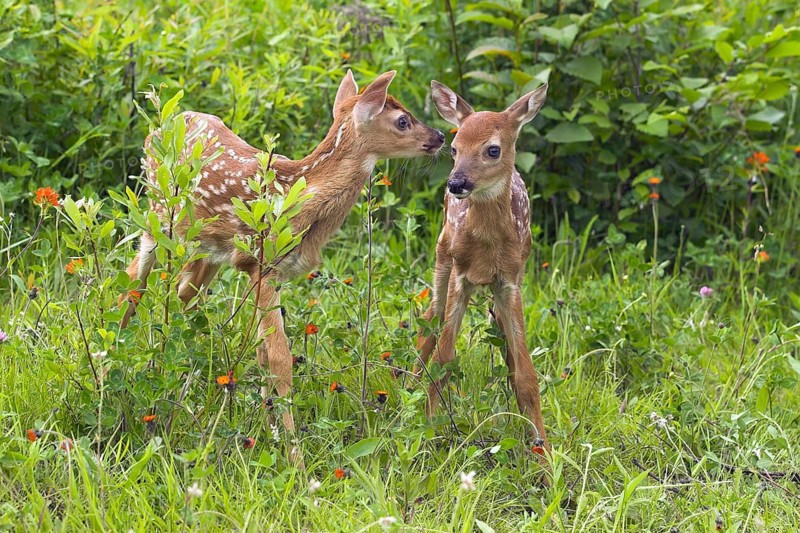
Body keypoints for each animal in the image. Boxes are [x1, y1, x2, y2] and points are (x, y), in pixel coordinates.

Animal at [121, 70, 445, 458]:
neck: (300, 196)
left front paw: (269, 432)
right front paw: (294, 455)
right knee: (132, 283)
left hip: (207, 249)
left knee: (184, 294)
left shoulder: (269, 271)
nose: (440, 136)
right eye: (402, 120)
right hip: (156, 217)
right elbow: (279, 360)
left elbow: (262, 355)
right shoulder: (259, 264)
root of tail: (158, 127)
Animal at [418, 80, 550, 453]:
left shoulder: (509, 283)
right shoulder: (460, 276)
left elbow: (526, 373)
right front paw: (427, 432)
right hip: (442, 255)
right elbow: (444, 359)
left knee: (506, 350)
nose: (456, 183)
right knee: (428, 322)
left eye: (492, 150)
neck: (488, 249)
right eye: (454, 148)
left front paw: (544, 452)